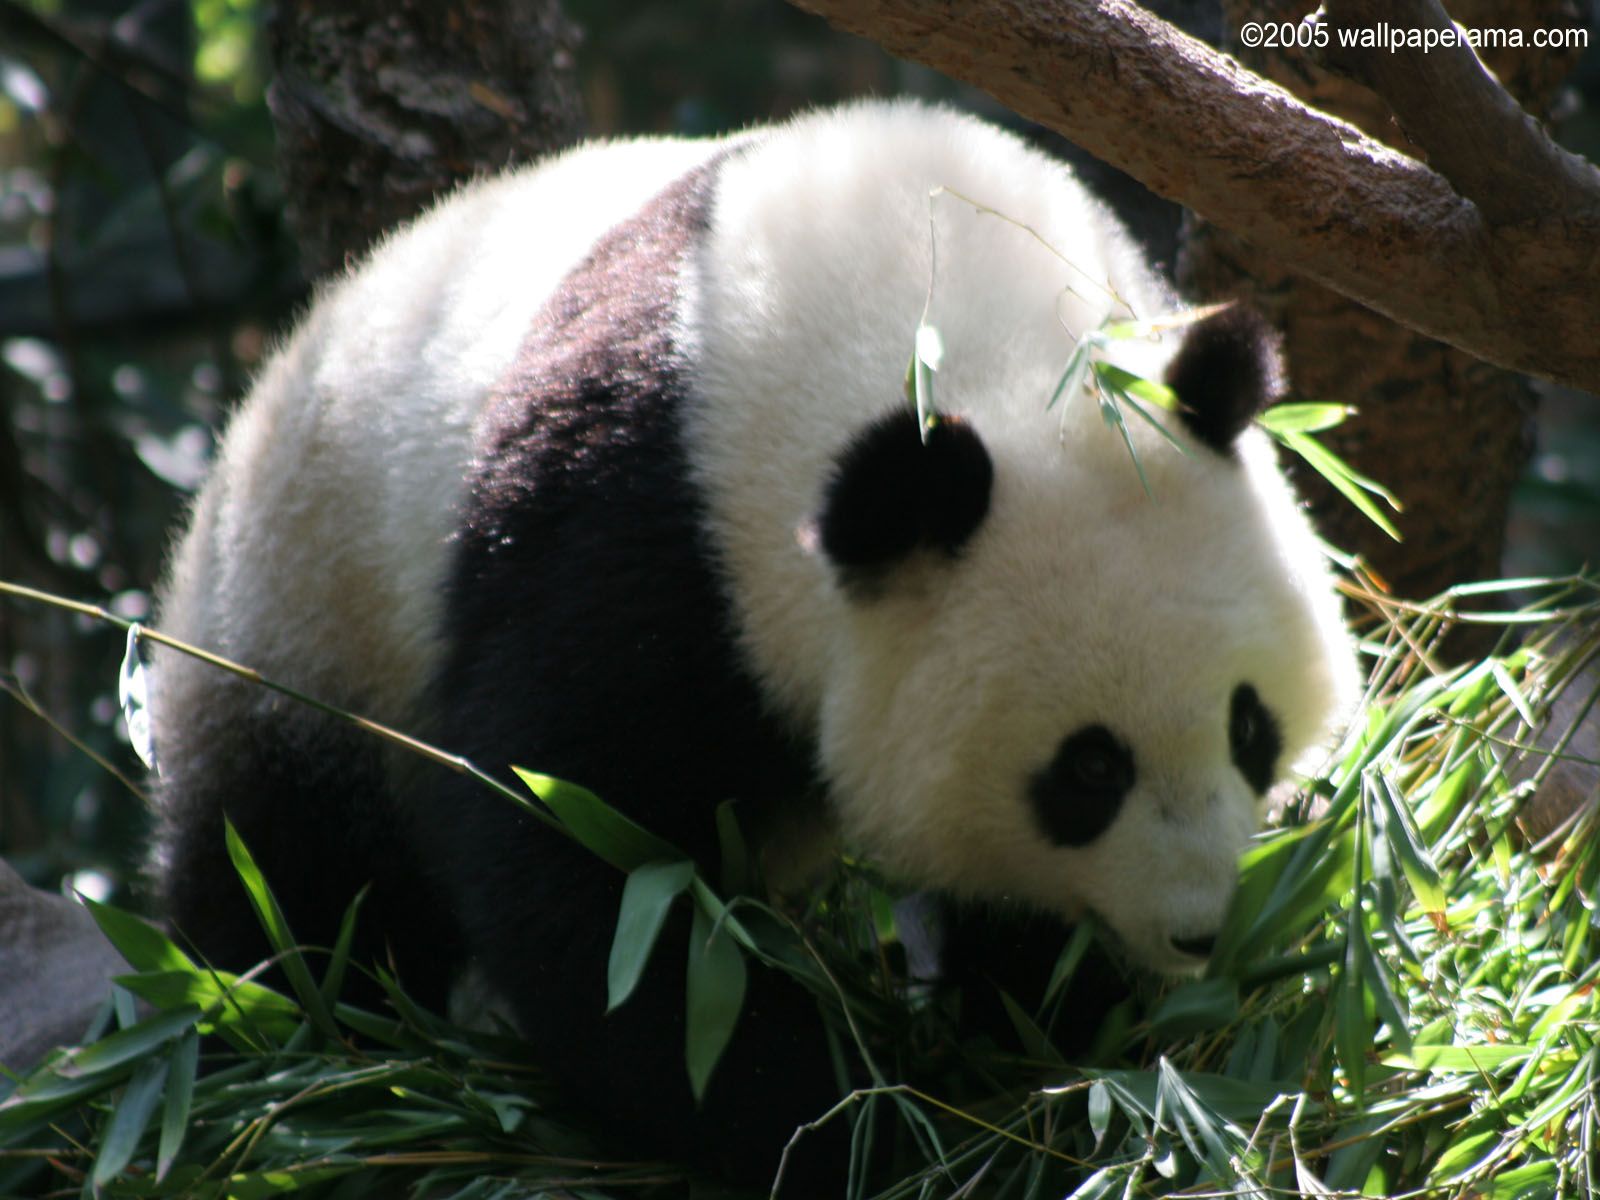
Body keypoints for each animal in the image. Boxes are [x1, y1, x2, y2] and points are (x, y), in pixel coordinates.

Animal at [148, 100, 1357, 1189]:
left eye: (1249, 726)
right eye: (1088, 769)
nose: (1199, 931)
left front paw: (1049, 1048)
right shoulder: (639, 532)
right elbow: (592, 883)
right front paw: (848, 1121)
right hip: (304, 614)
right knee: (294, 884)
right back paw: (306, 1061)